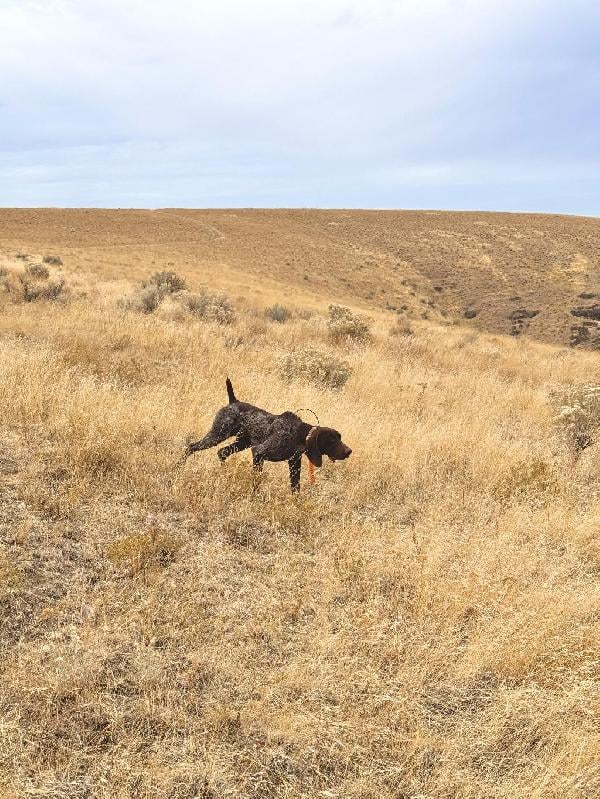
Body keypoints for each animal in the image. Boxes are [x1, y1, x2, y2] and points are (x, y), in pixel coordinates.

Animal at [184, 380, 352, 490]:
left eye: (339, 437)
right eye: (332, 440)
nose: (349, 451)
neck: (299, 435)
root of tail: (233, 402)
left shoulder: (294, 465)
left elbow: (295, 488)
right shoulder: (259, 453)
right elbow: (256, 480)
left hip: (241, 443)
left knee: (222, 452)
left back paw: (222, 473)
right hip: (218, 434)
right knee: (191, 447)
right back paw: (180, 466)